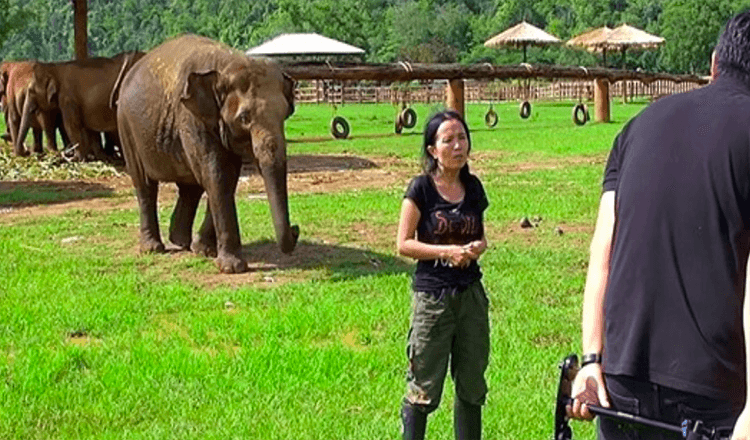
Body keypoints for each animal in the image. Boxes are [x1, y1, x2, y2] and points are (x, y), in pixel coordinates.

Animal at [16, 51, 144, 162]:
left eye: (31, 91)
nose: (26, 153)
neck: (55, 68)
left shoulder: (67, 98)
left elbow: (71, 125)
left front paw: (76, 159)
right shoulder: (86, 106)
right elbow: (89, 128)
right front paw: (100, 158)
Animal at [111, 34, 300, 274]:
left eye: (286, 114)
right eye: (244, 118)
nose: (296, 229)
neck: (227, 63)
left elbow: (226, 178)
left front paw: (206, 251)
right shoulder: (192, 118)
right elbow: (217, 175)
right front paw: (232, 268)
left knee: (190, 188)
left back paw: (182, 242)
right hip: (126, 126)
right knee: (145, 185)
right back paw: (153, 248)